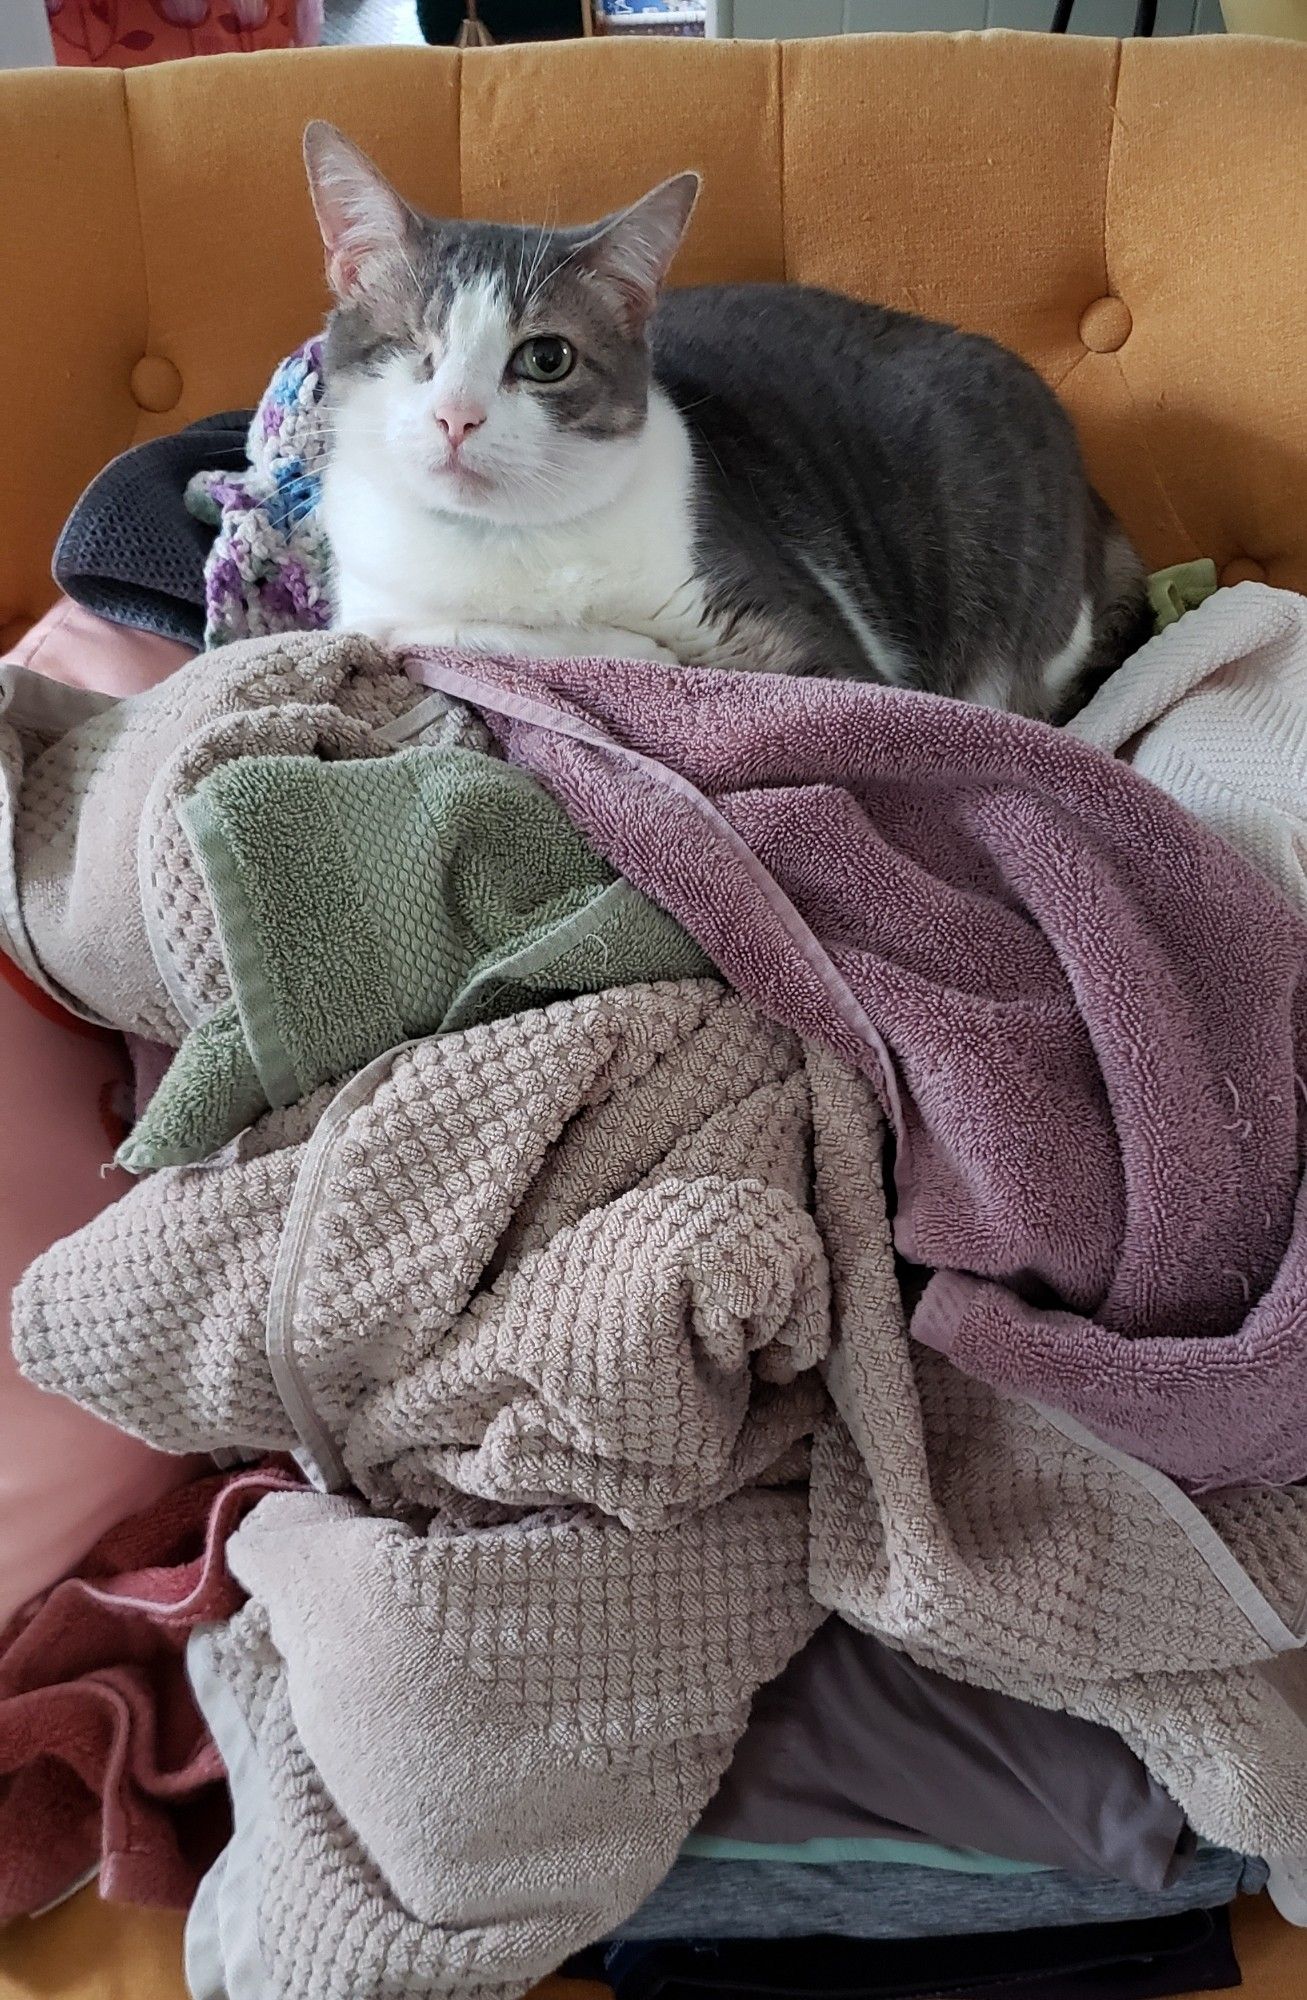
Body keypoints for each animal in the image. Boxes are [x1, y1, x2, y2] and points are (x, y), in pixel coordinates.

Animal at [307, 123, 1151, 720]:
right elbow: (445, 636)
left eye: (546, 359)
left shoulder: (813, 645)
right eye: (409, 345)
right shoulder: (377, 607)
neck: (507, 544)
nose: (457, 417)